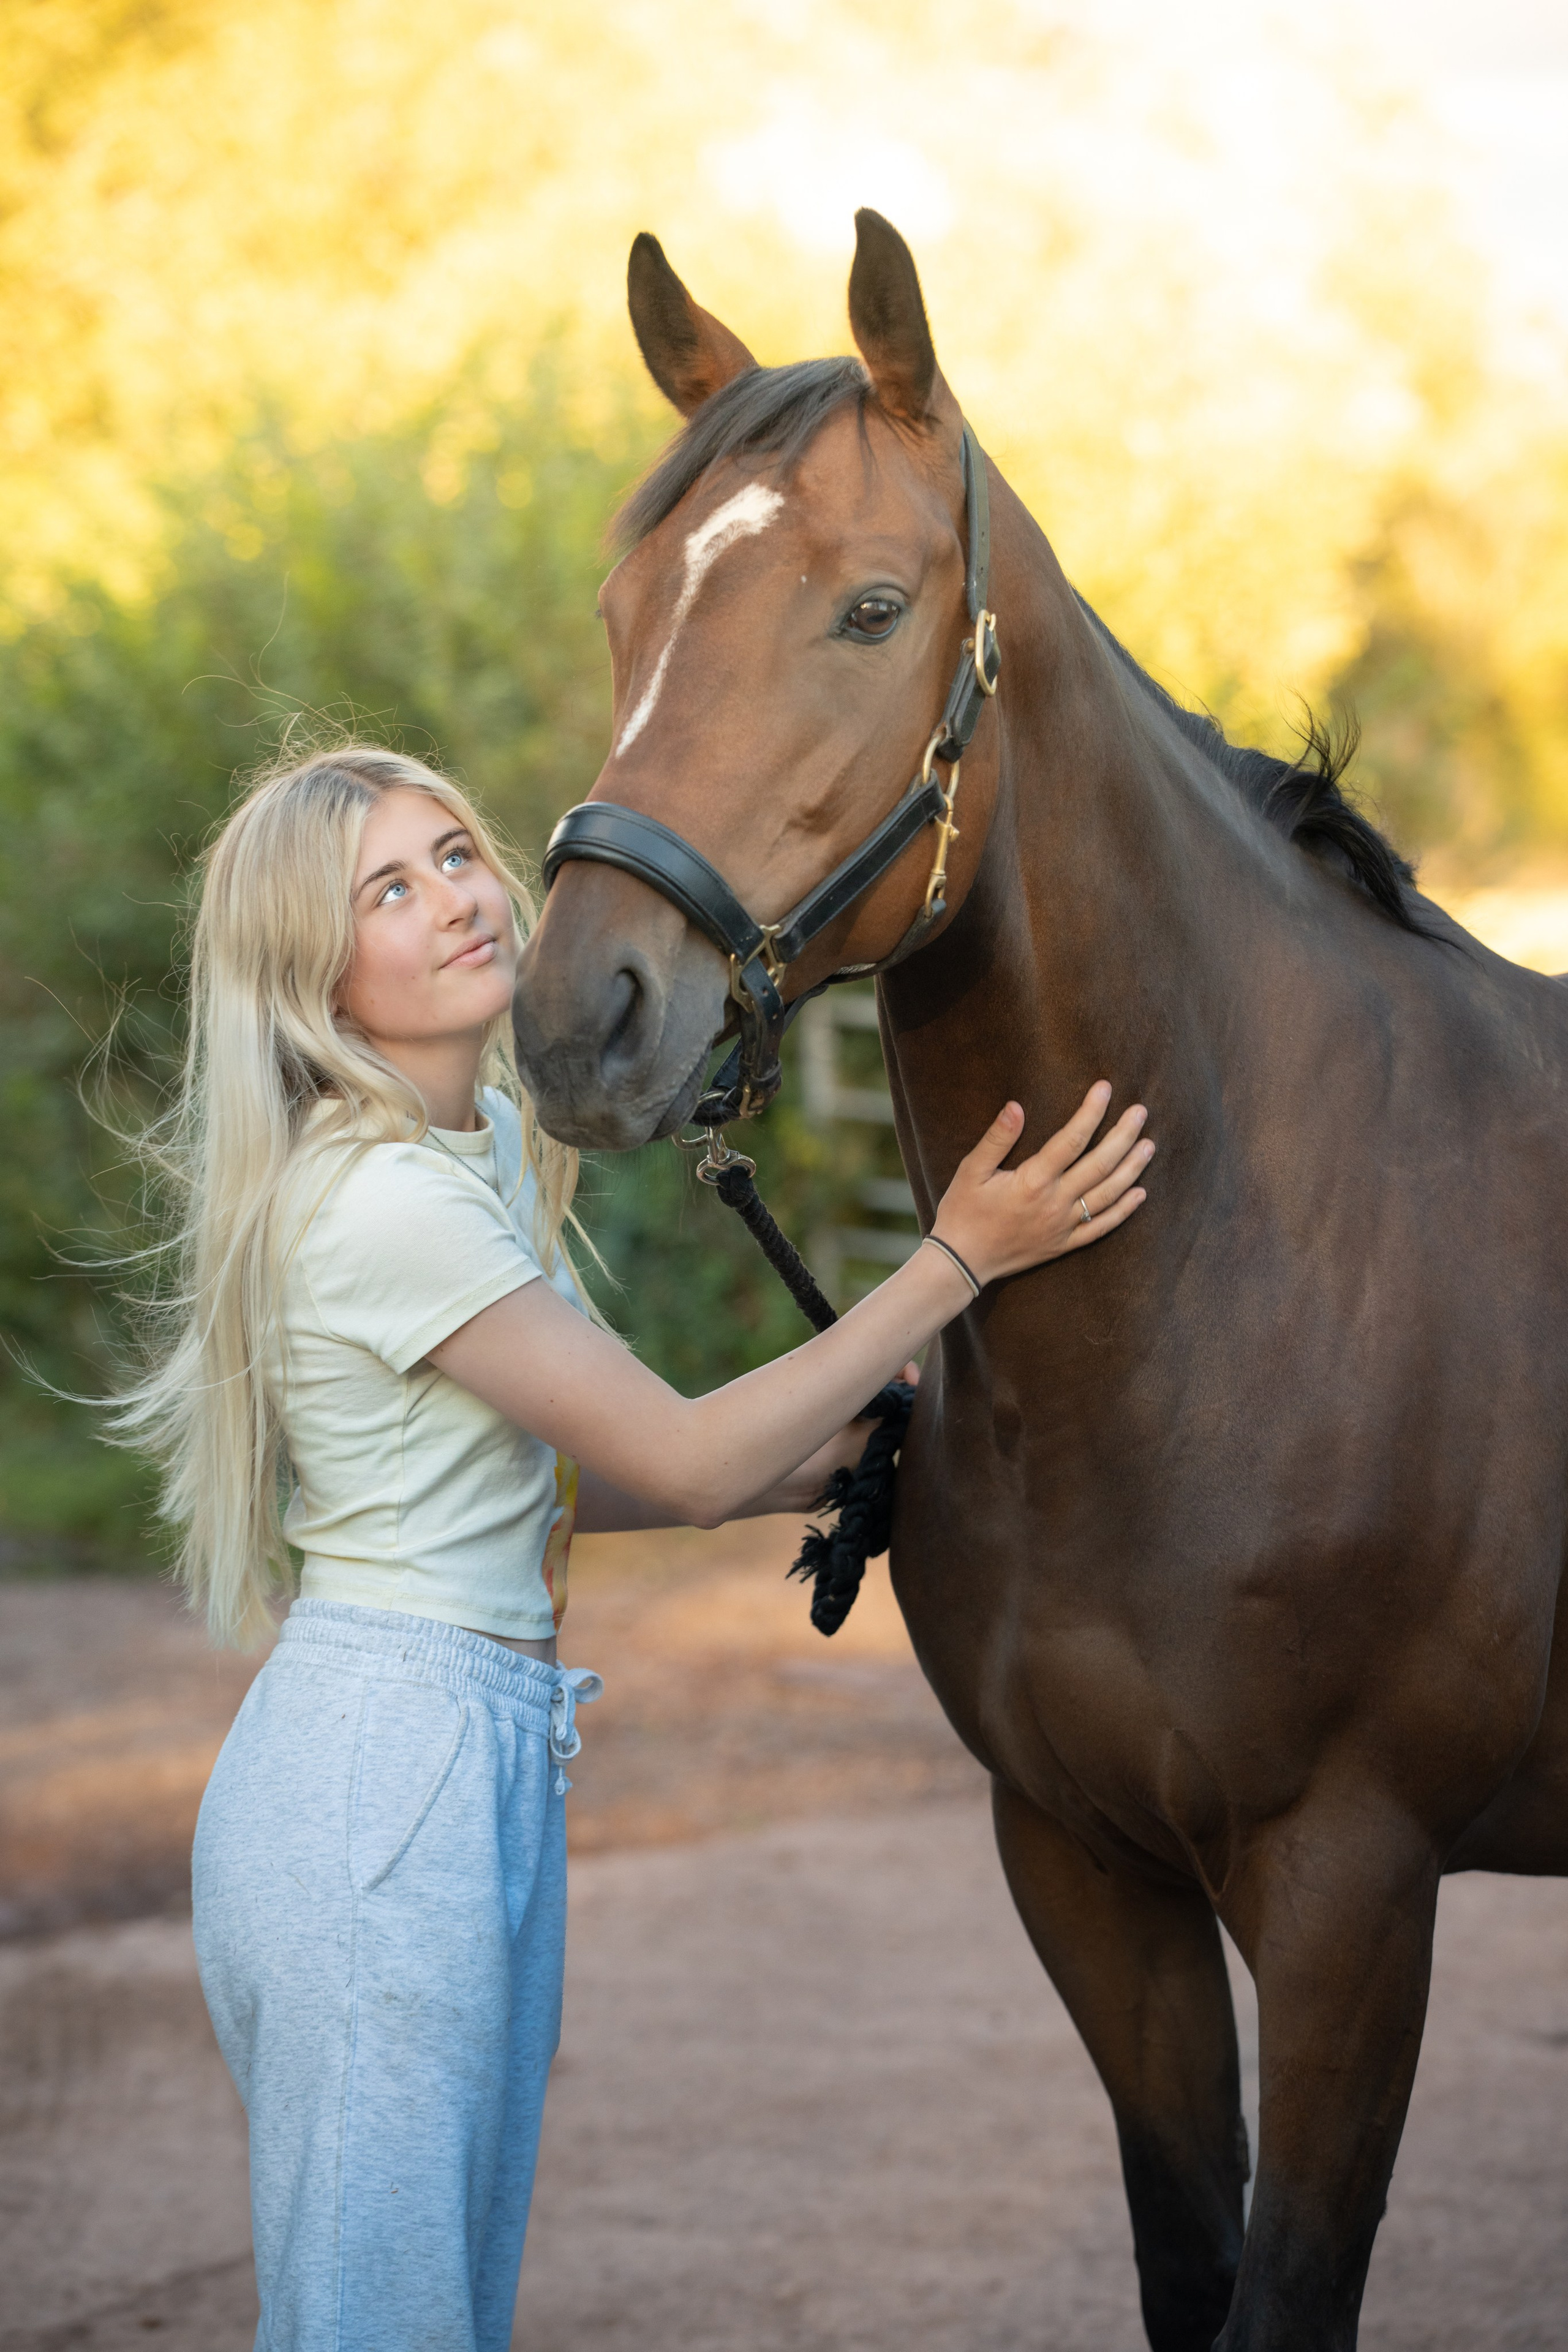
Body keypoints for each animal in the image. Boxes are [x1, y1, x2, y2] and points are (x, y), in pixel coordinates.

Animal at [511, 211, 1568, 2350]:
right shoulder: (1087, 1869)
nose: (586, 1012)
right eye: (622, 606)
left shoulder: (1351, 1893)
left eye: (870, 608)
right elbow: (1187, 2261)